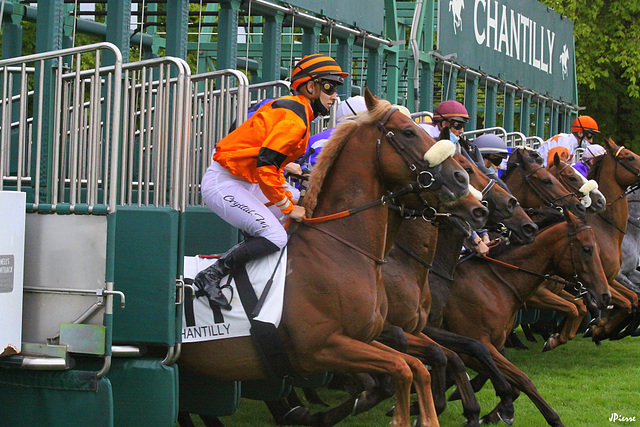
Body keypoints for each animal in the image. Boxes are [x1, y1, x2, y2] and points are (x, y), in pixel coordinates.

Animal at [180, 88, 470, 426]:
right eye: (409, 132)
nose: (460, 179)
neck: (340, 247)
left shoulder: (364, 337)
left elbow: (414, 368)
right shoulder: (322, 346)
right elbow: (402, 368)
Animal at [440, 211, 608, 427]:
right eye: (587, 249)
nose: (605, 295)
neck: (492, 282)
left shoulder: (487, 345)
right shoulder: (478, 343)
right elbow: (522, 379)